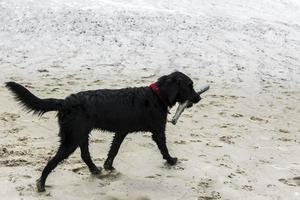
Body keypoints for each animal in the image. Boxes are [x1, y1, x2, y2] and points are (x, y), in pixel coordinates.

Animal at [4, 71, 200, 191]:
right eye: (190, 85)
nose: (199, 97)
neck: (156, 95)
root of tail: (66, 102)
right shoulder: (158, 131)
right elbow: (164, 149)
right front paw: (171, 161)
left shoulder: (121, 131)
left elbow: (113, 150)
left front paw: (108, 166)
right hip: (72, 139)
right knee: (52, 161)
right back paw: (42, 183)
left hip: (81, 135)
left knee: (85, 155)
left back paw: (95, 170)